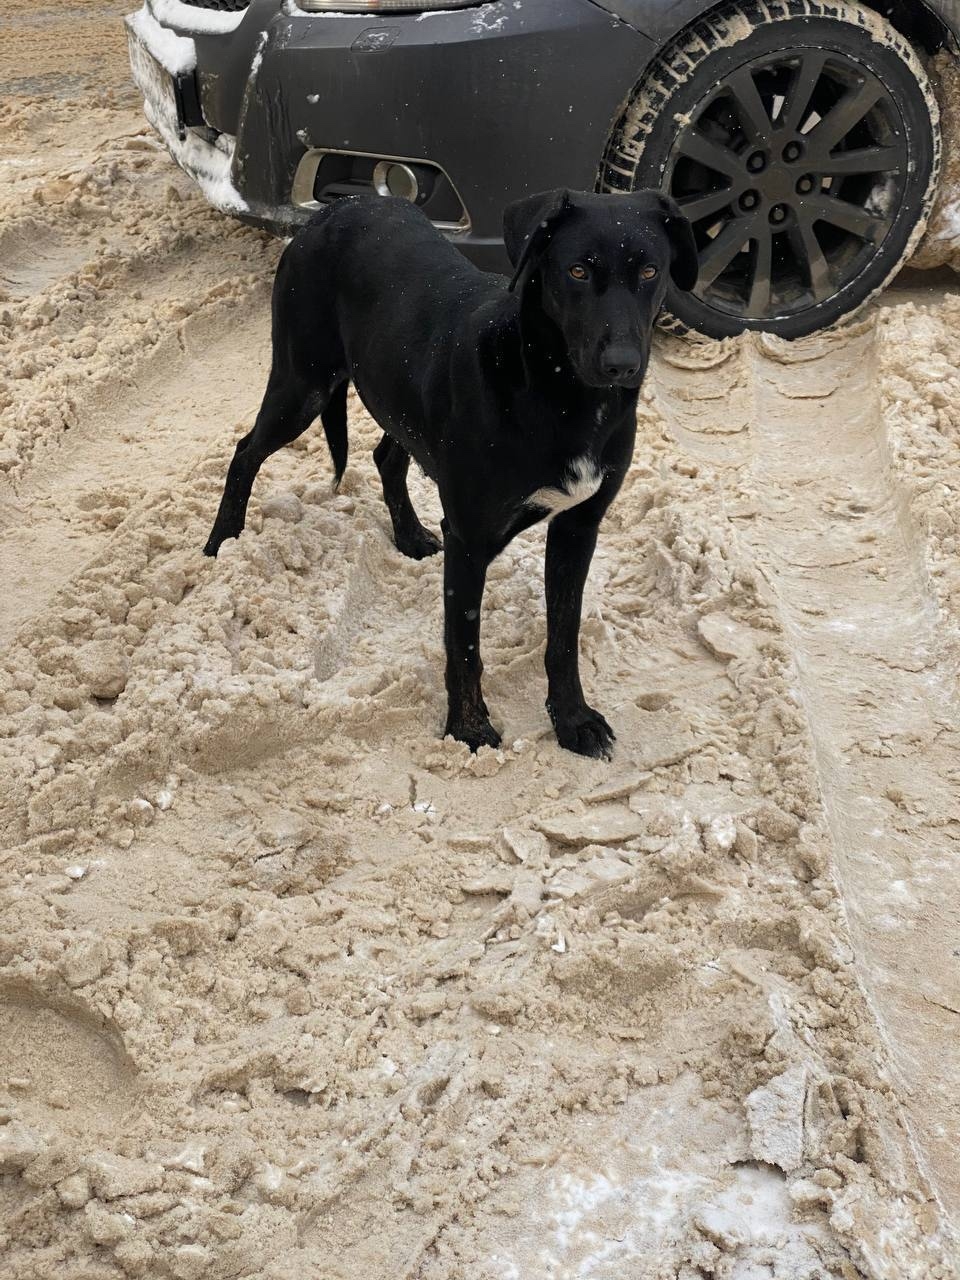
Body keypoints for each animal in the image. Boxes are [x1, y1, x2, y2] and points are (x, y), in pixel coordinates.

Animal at [204, 188, 698, 757]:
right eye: (577, 270)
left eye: (650, 271)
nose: (621, 364)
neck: (555, 391)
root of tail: (337, 206)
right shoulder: (470, 540)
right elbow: (464, 647)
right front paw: (469, 729)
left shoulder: (578, 528)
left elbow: (563, 637)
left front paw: (572, 719)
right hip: (301, 384)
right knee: (245, 452)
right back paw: (222, 543)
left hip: (394, 394)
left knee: (385, 457)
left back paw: (410, 536)